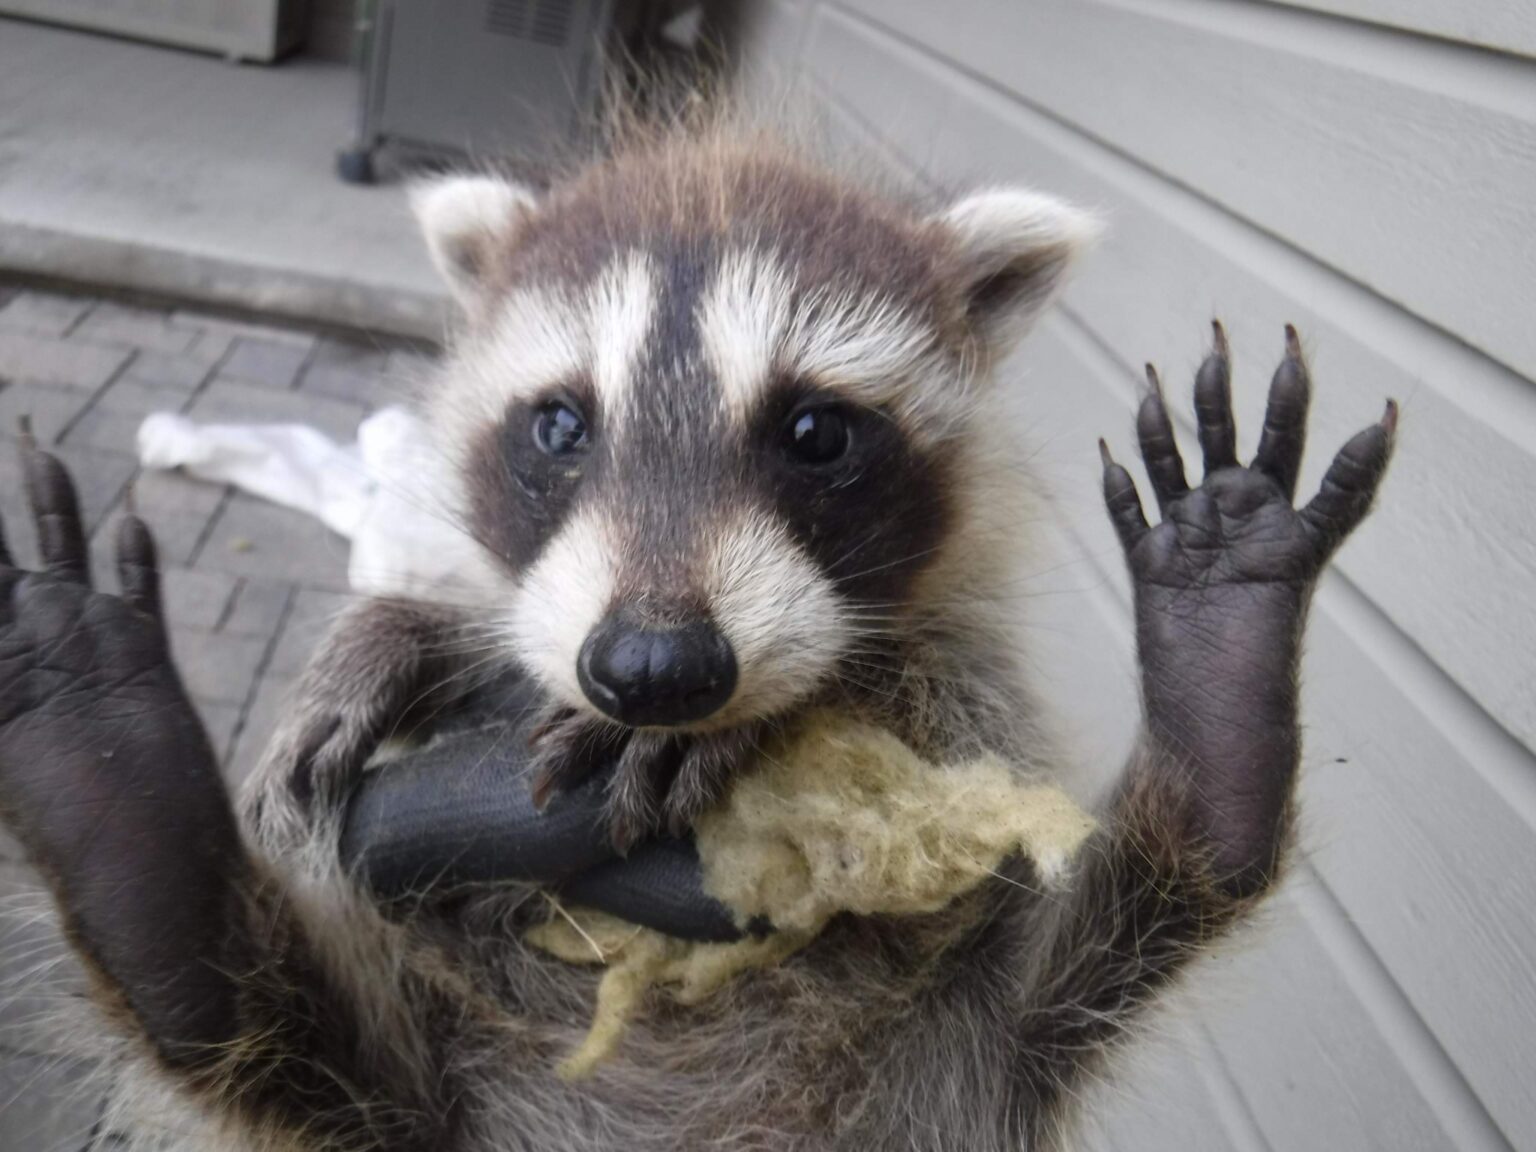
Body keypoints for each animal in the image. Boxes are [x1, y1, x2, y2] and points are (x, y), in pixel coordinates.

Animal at [0, 123, 1395, 1151]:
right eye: (561, 425)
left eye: (816, 433)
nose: (655, 674)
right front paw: (410, 632)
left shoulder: (972, 672)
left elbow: (941, 738)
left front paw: (773, 722)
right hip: (405, 1084)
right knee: (241, 1026)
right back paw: (122, 810)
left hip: (974, 1054)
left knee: (1122, 919)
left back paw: (1221, 697)